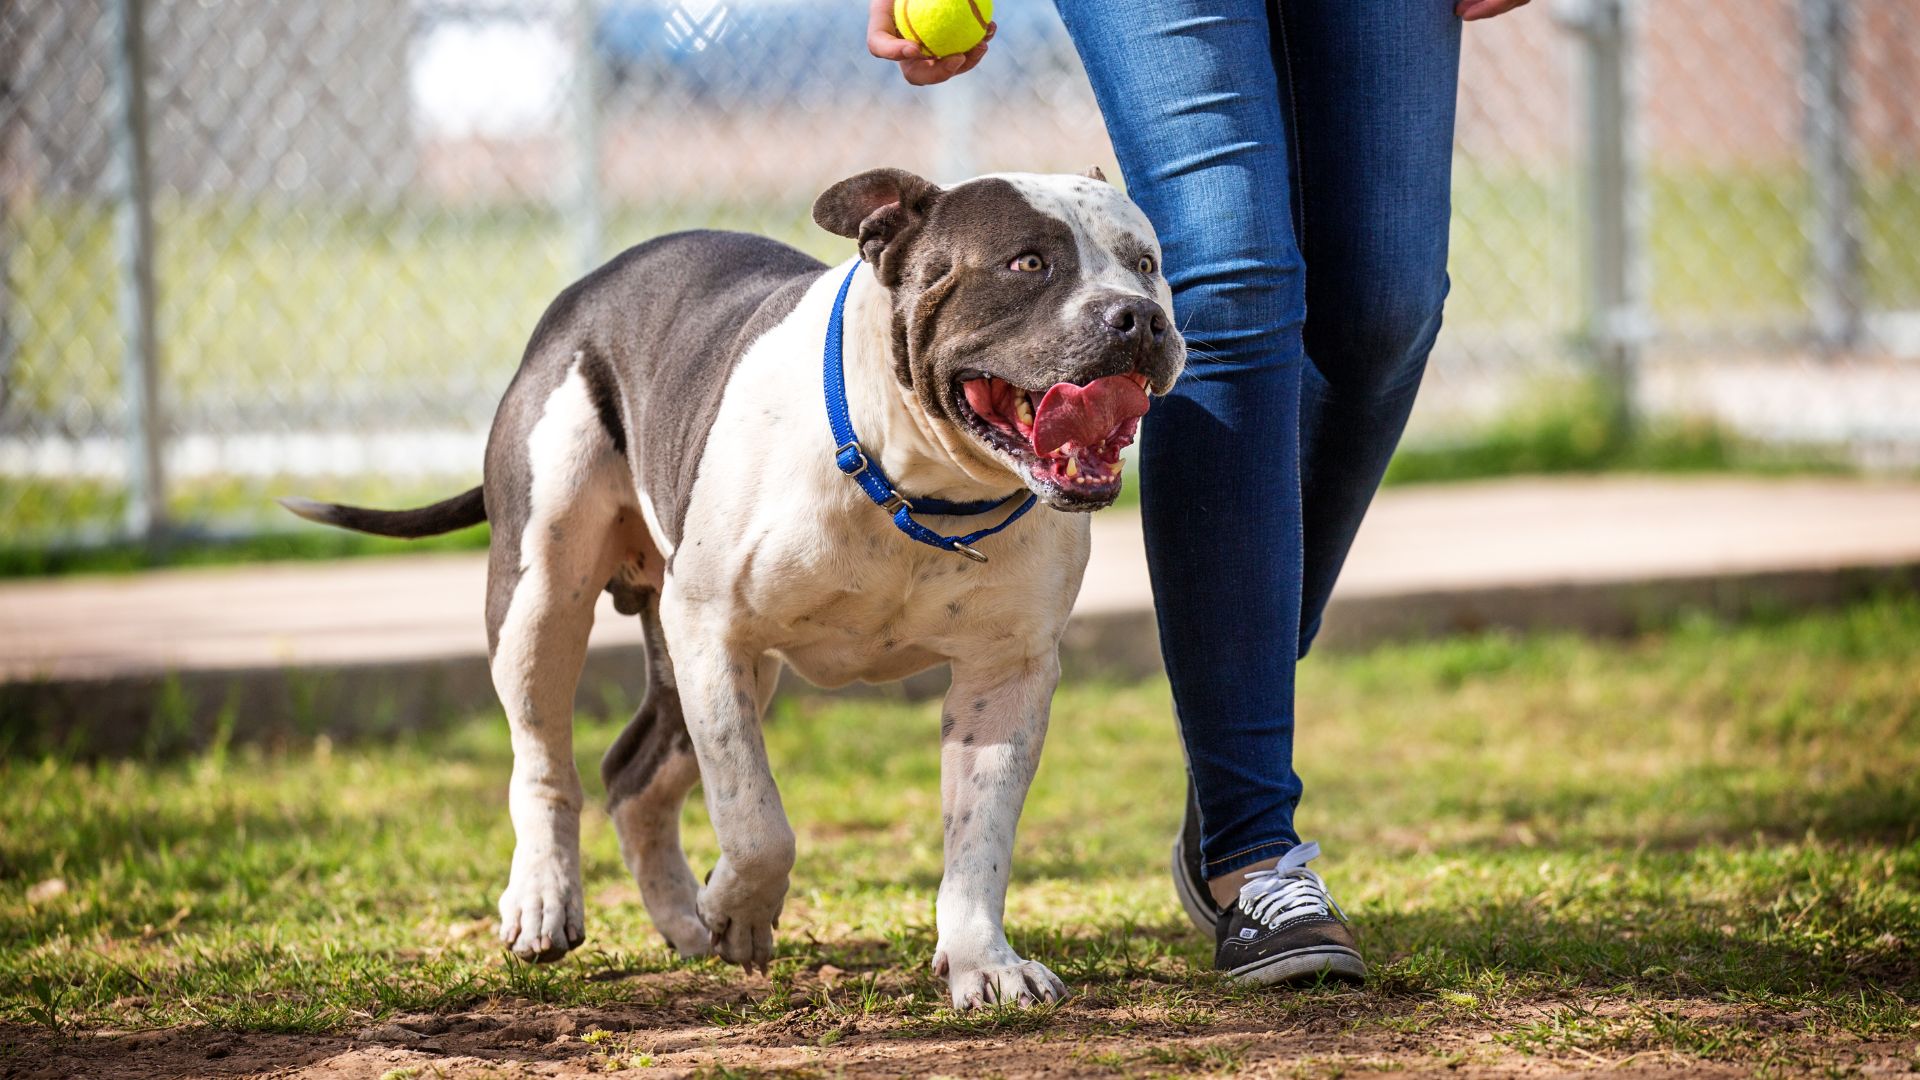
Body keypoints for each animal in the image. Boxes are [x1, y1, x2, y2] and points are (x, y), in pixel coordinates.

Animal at [284, 164, 1182, 1006]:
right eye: (1028, 262)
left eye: (1147, 264)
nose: (1139, 316)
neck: (917, 488)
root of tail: (588, 289)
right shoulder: (714, 632)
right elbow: (756, 821)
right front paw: (742, 911)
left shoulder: (1005, 676)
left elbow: (979, 839)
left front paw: (983, 965)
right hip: (544, 595)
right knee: (544, 756)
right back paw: (547, 899)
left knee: (634, 774)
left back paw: (682, 917)